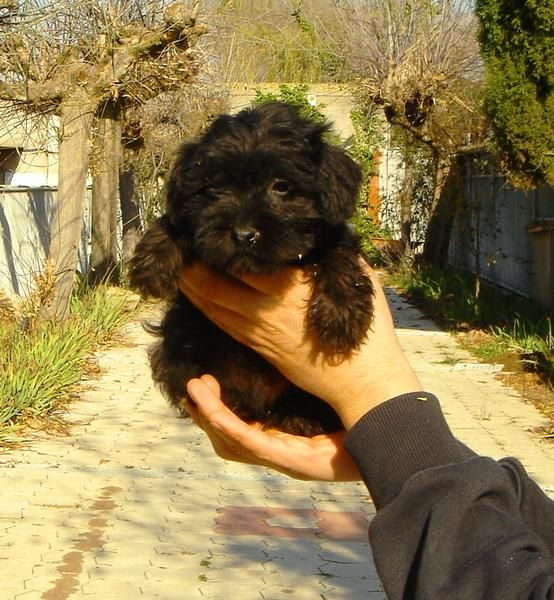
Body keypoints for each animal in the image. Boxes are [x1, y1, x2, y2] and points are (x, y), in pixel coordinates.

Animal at [127, 101, 374, 434]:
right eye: (215, 189)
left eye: (282, 186)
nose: (244, 234)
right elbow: (176, 220)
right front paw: (152, 262)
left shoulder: (332, 233)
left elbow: (339, 254)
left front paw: (340, 314)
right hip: (179, 340)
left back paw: (300, 417)